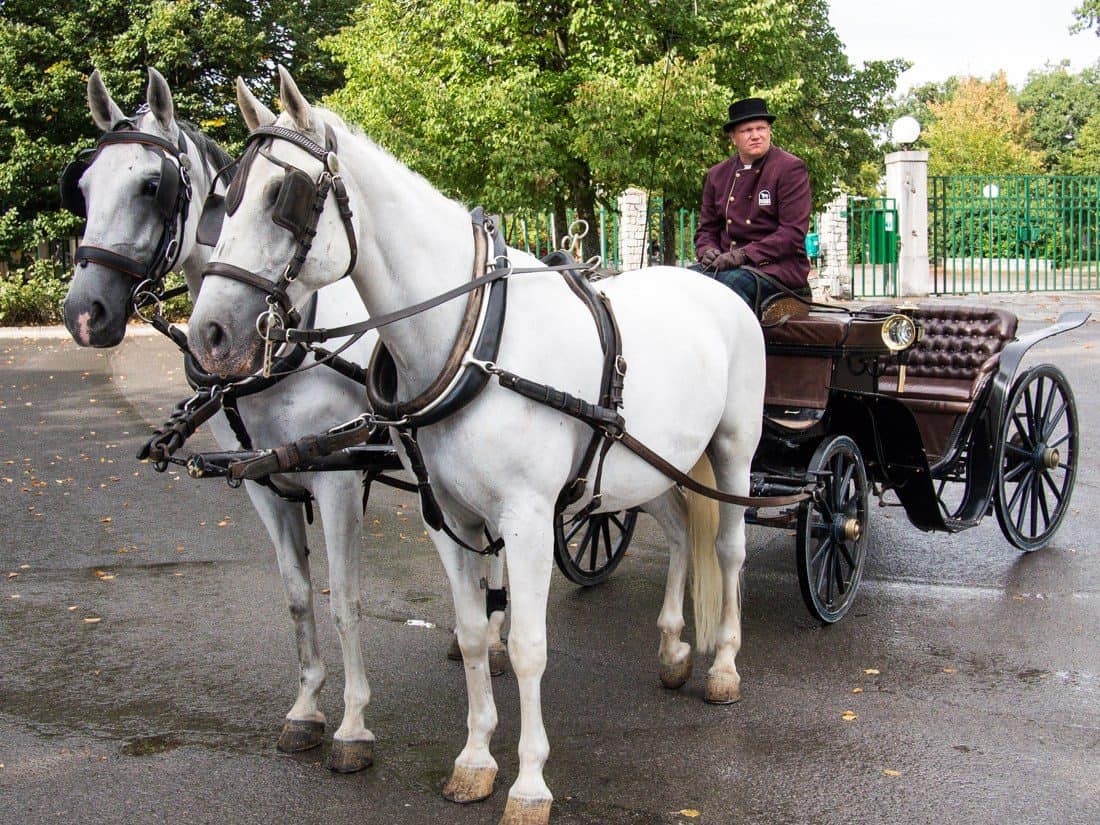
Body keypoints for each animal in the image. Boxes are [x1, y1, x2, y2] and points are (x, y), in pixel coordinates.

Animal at [62, 67, 512, 774]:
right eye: (82, 187)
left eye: (151, 186)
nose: (84, 314)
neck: (285, 350)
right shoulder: (262, 484)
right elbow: (299, 596)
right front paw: (305, 709)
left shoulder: (337, 480)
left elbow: (346, 601)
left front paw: (354, 725)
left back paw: (493, 637)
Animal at [187, 69, 765, 825]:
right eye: (222, 198)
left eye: (285, 198)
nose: (210, 335)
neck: (475, 342)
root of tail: (710, 281)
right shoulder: (449, 517)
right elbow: (467, 633)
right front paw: (474, 759)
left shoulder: (526, 518)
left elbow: (525, 644)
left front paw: (530, 783)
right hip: (648, 468)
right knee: (676, 535)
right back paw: (672, 646)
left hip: (732, 453)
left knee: (727, 549)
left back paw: (724, 664)